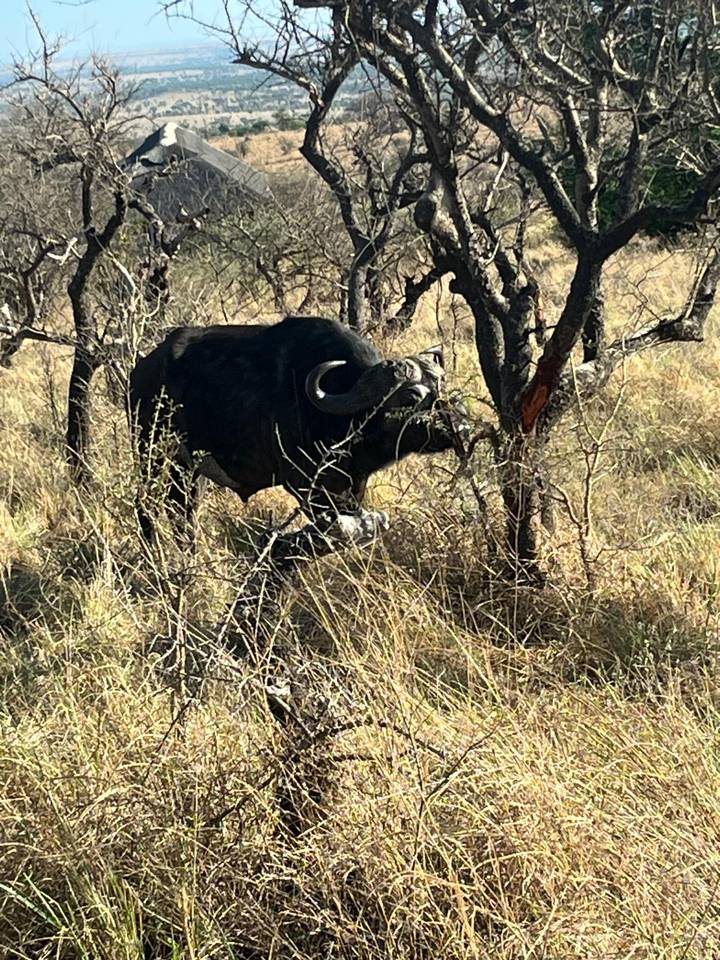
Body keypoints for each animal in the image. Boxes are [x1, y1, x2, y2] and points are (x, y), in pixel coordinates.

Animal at [128, 314, 469, 542]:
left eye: (441, 385)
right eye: (412, 396)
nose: (461, 425)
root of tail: (141, 370)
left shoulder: (353, 487)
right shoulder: (305, 485)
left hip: (189, 470)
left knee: (182, 511)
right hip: (152, 453)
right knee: (146, 505)